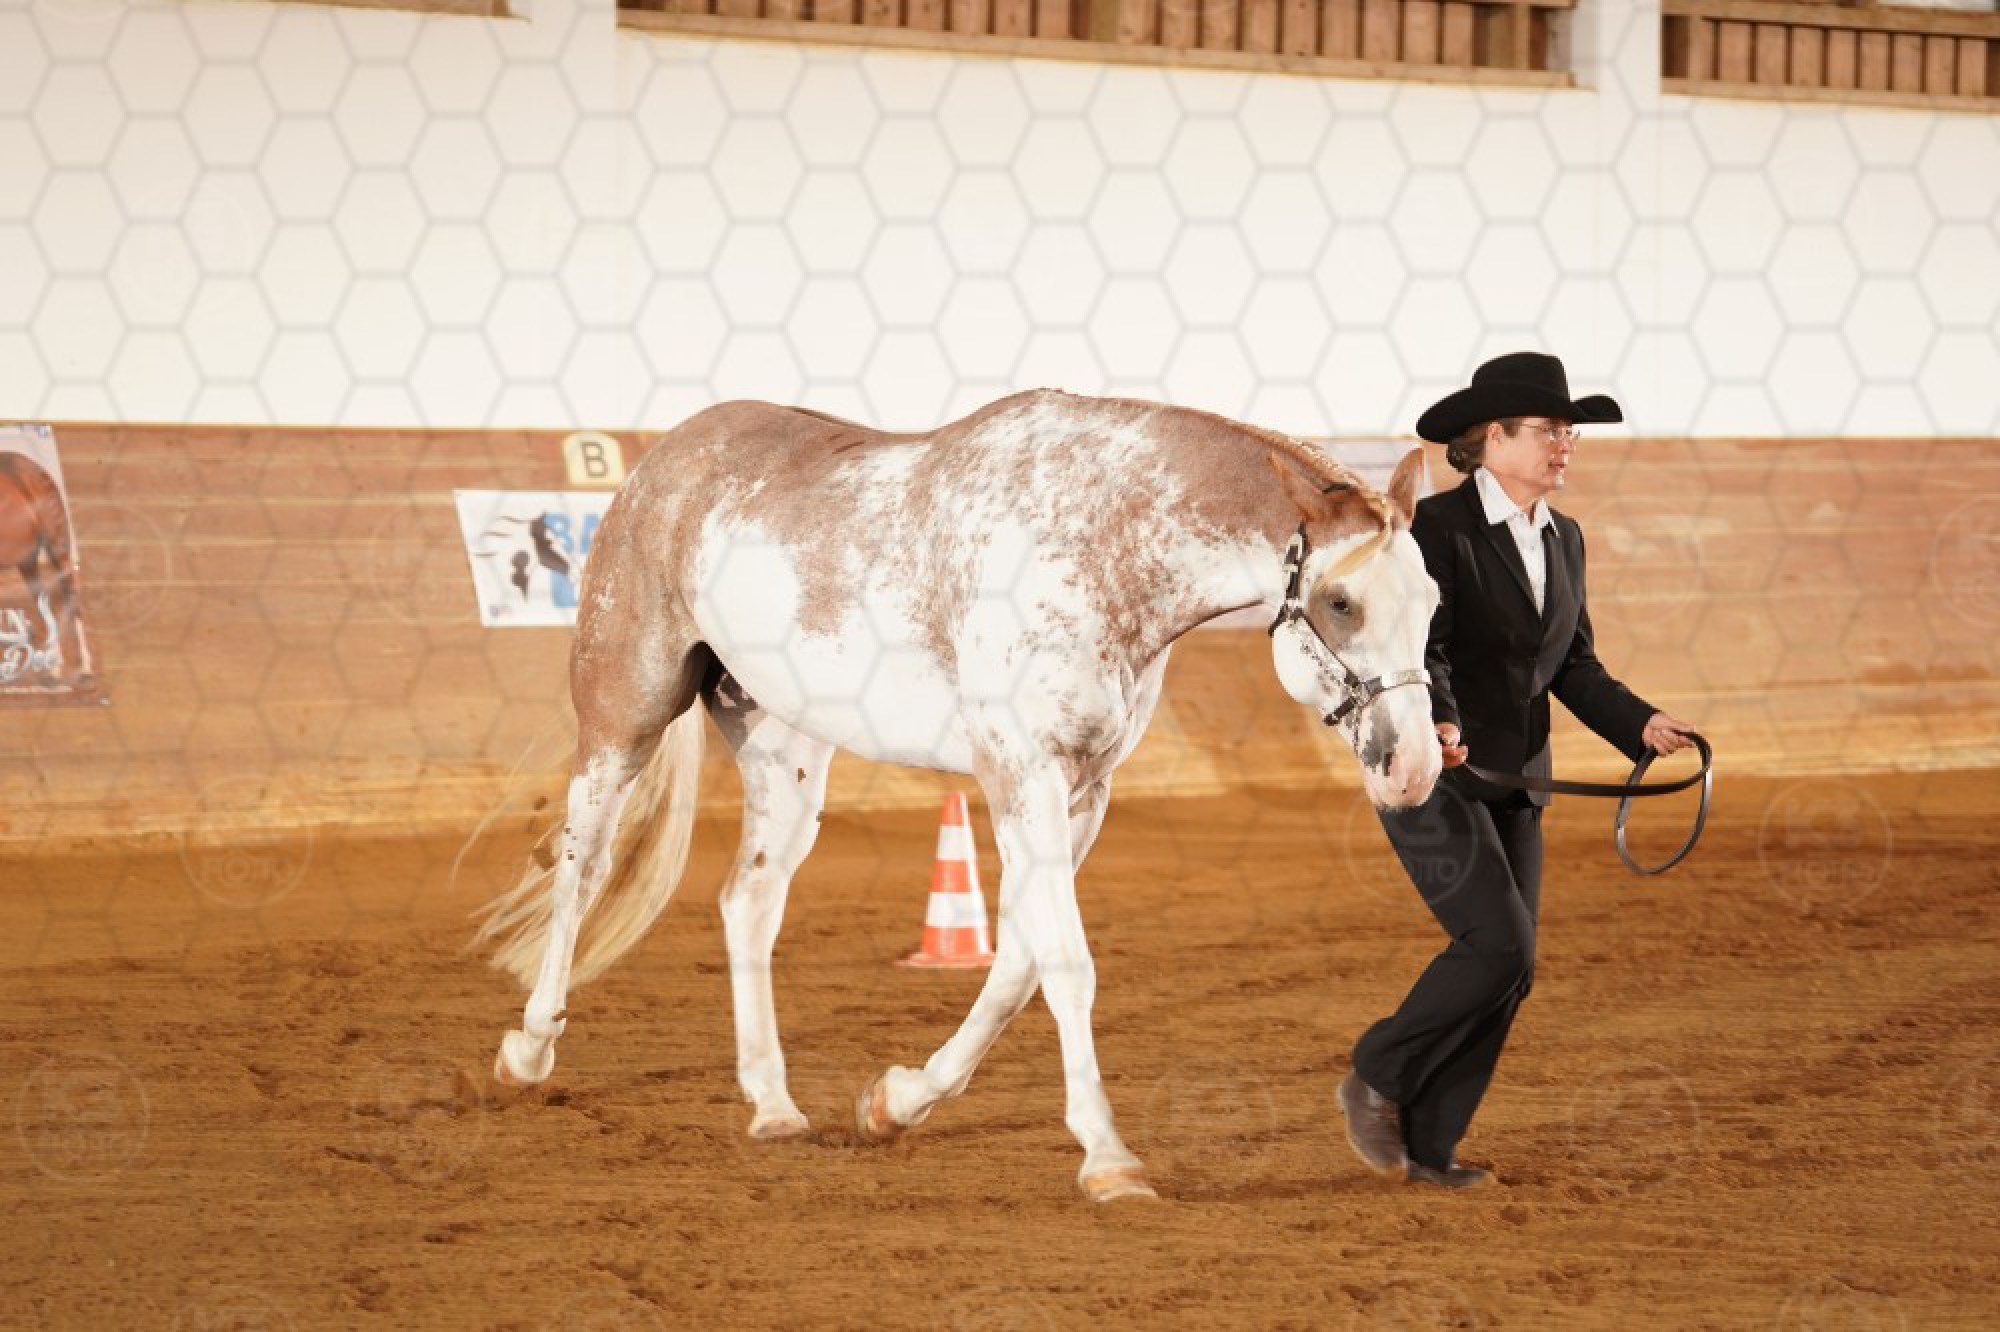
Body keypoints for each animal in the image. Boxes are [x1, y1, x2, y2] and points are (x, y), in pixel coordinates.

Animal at [474, 389, 1443, 1202]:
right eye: (1342, 601)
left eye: (1434, 597)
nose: (1416, 767)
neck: (1094, 541)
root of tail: (663, 460)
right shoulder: (1023, 774)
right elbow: (1066, 965)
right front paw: (1109, 1160)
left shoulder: (1082, 792)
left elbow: (1017, 966)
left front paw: (894, 1103)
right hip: (623, 717)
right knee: (582, 867)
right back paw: (527, 1051)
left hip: (784, 751)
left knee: (747, 902)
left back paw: (775, 1108)